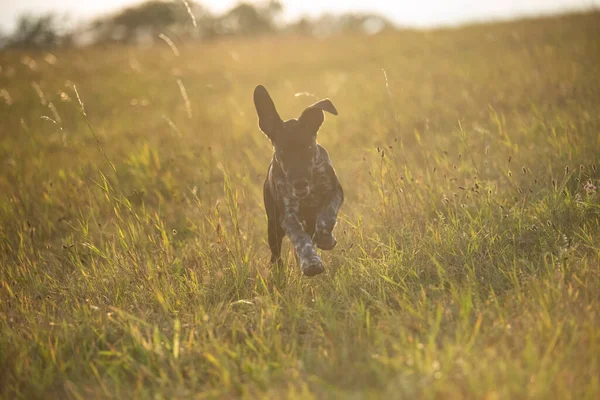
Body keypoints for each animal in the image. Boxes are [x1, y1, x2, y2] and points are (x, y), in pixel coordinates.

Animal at [253, 85, 344, 276]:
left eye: (308, 148)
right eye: (282, 153)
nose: (299, 183)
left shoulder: (335, 192)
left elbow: (327, 216)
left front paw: (326, 239)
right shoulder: (288, 216)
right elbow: (300, 238)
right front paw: (311, 262)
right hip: (273, 226)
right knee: (276, 255)